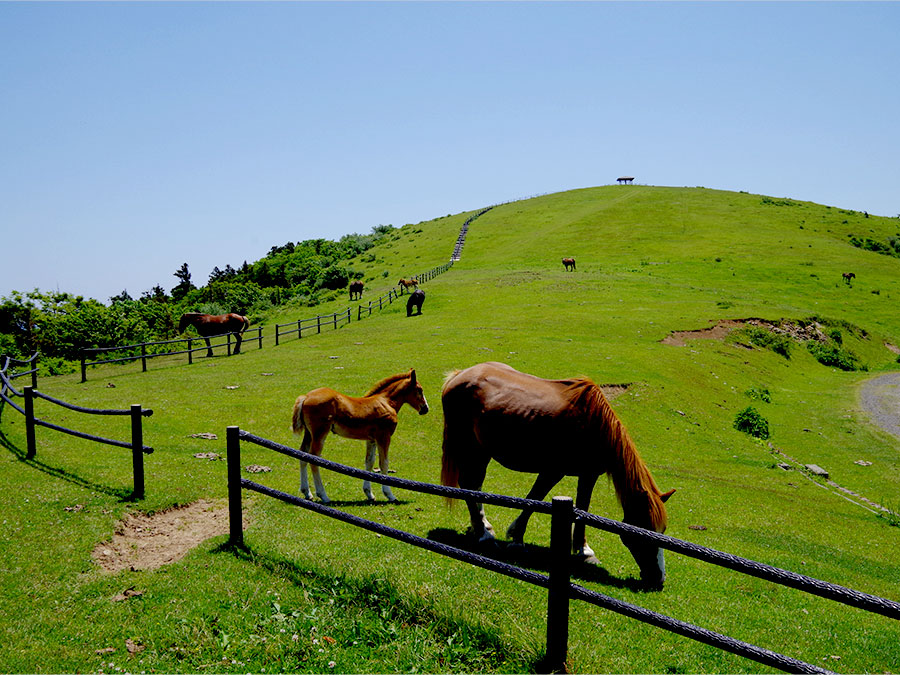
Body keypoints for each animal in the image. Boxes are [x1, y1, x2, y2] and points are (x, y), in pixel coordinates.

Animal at [290, 370, 428, 502]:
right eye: (419, 390)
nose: (425, 409)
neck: (387, 402)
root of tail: (306, 397)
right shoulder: (384, 437)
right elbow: (384, 463)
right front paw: (389, 495)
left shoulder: (371, 439)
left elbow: (369, 462)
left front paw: (369, 493)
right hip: (320, 433)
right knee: (314, 458)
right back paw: (323, 495)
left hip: (309, 433)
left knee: (303, 455)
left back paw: (307, 493)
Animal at [442, 362, 676, 588]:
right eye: (644, 532)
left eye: (663, 529)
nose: (658, 579)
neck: (594, 425)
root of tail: (459, 375)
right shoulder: (553, 471)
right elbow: (534, 499)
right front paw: (517, 539)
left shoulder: (588, 475)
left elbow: (582, 509)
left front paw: (584, 551)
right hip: (472, 446)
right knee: (468, 484)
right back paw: (484, 535)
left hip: (482, 450)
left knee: (475, 485)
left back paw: (484, 527)